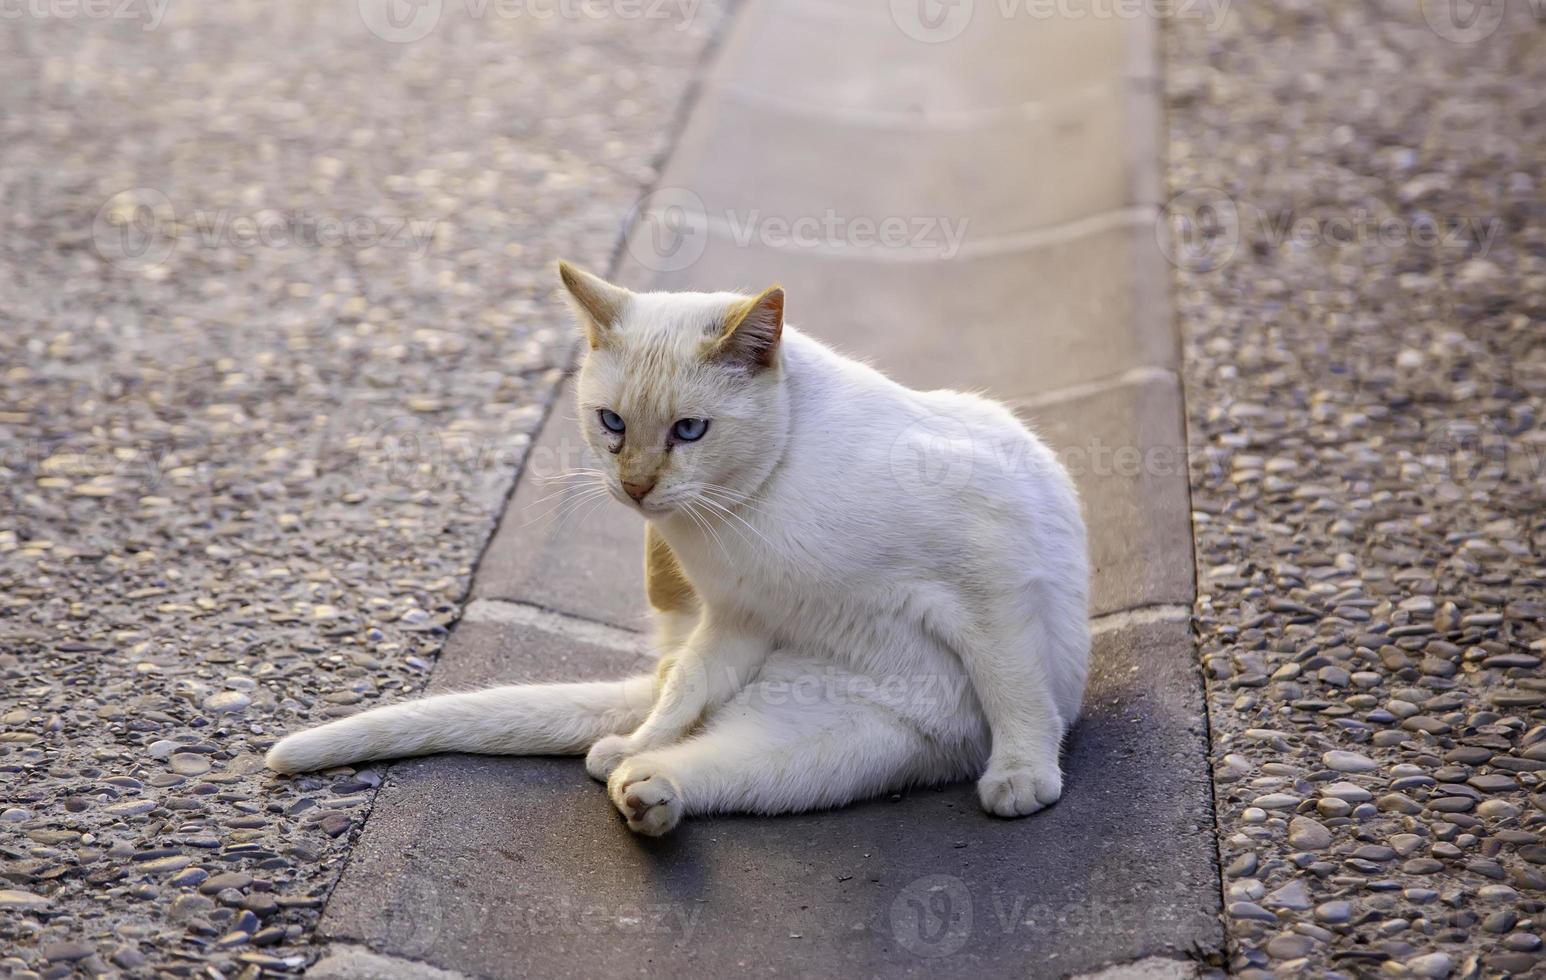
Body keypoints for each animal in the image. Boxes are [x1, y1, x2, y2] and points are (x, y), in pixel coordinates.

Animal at [265, 262, 1088, 834]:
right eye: (612, 424)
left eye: (689, 432)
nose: (634, 488)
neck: (748, 513)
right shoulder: (738, 620)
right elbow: (686, 690)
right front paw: (637, 744)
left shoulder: (989, 576)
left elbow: (1015, 689)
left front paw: (1021, 778)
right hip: (799, 744)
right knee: (678, 736)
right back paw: (638, 781)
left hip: (847, 744)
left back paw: (641, 787)